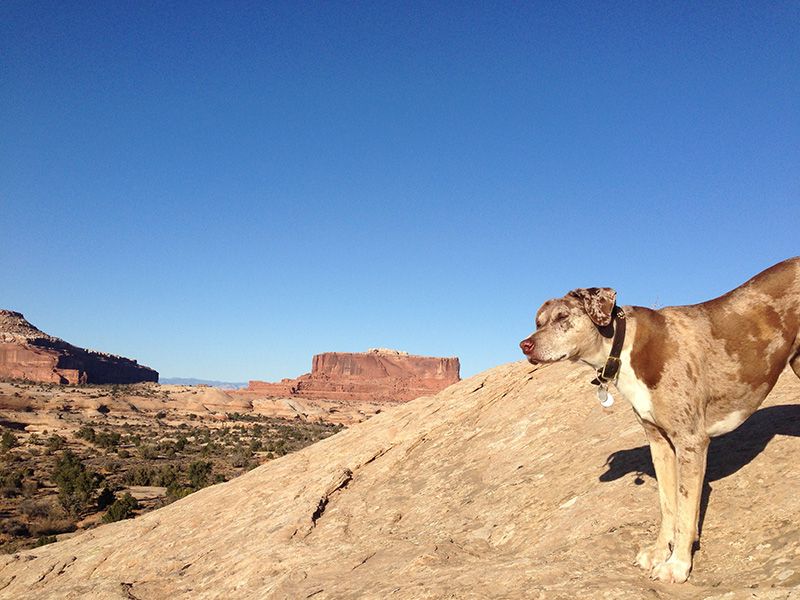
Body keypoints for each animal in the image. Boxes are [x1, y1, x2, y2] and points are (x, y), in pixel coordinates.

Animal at [520, 256, 800, 580]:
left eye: (563, 316)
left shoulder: (691, 442)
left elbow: (685, 508)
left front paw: (677, 565)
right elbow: (668, 504)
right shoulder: (659, 442)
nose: (524, 345)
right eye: (538, 322)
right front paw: (658, 552)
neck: (622, 346)